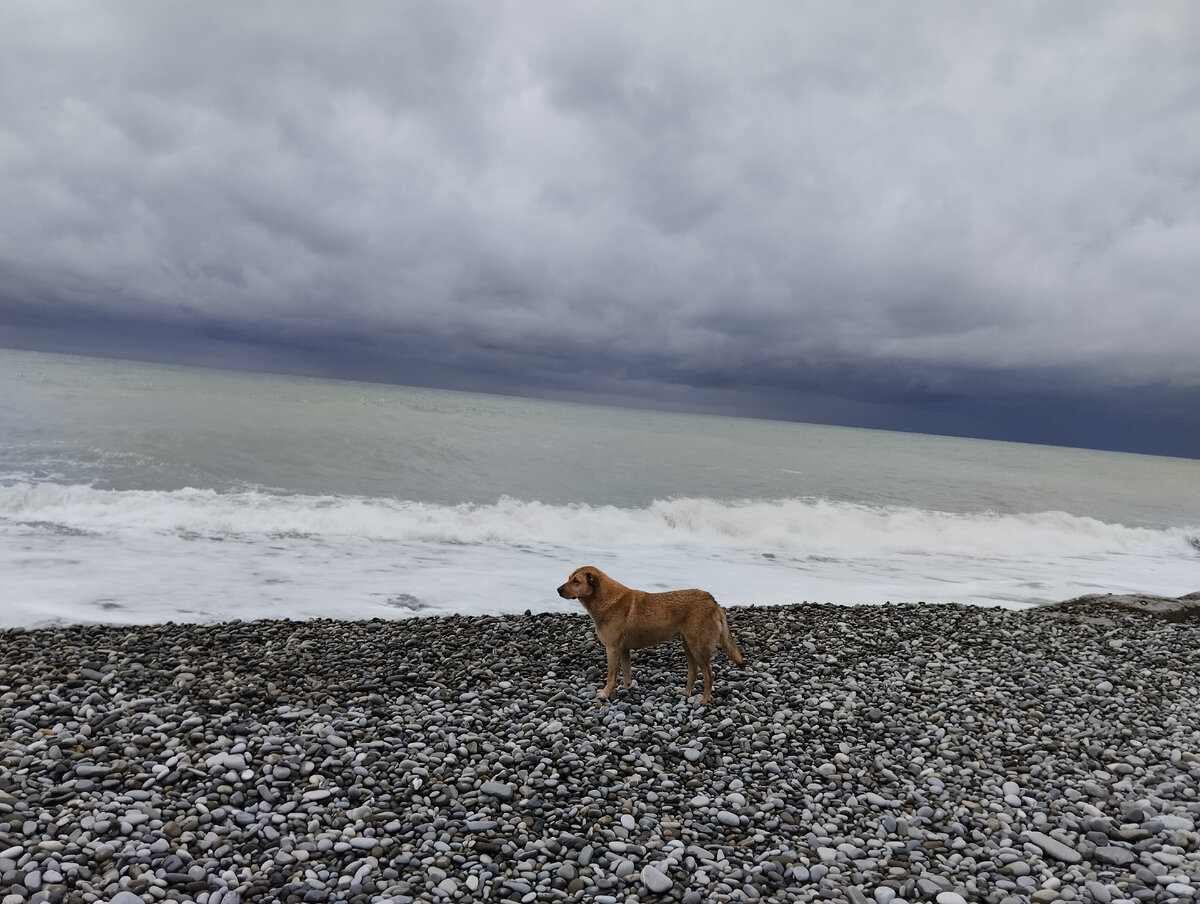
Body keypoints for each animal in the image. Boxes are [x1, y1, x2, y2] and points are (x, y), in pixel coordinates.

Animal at [559, 564, 744, 705]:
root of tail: (713, 602)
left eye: (576, 581)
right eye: (569, 578)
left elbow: (611, 676)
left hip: (697, 646)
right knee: (693, 672)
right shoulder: (623, 649)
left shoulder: (612, 649)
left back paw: (704, 699)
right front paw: (625, 687)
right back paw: (686, 692)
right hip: (688, 646)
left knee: (709, 675)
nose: (558, 589)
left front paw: (605, 693)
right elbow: (627, 671)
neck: (604, 599)